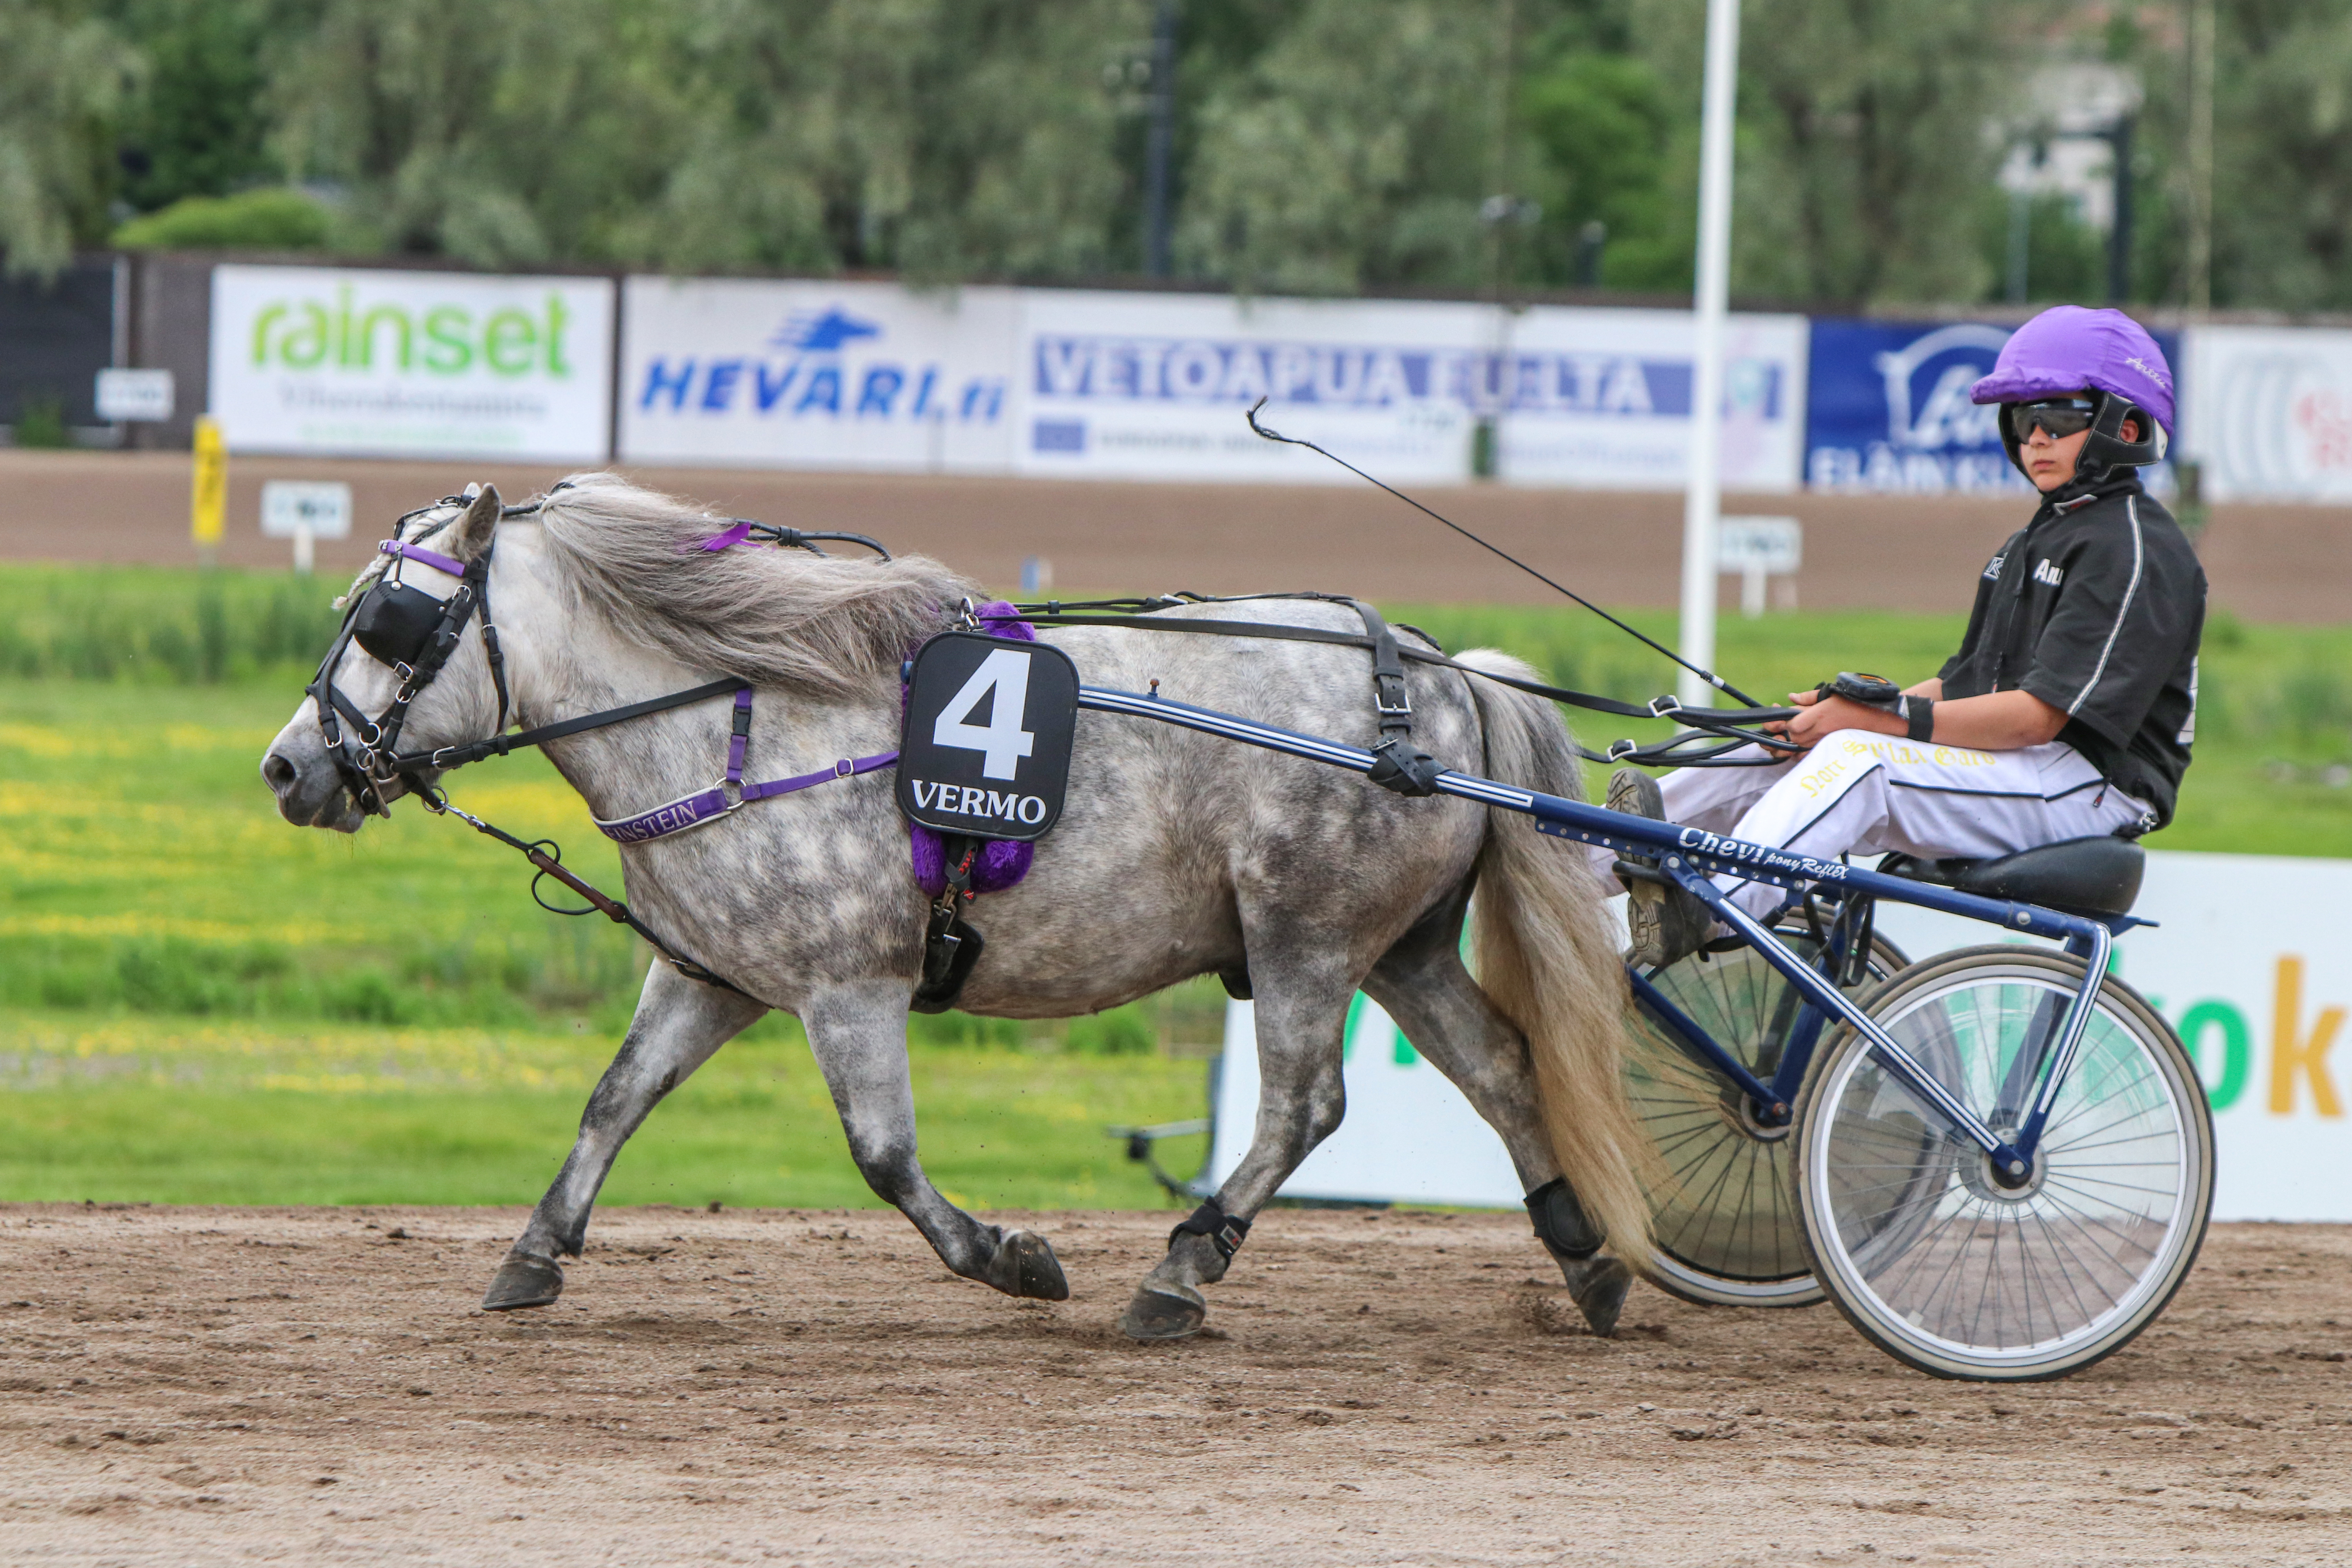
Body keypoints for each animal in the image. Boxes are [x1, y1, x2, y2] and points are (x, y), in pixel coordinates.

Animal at [258, 475, 1656, 1335]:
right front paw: (536, 1251)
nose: (287, 767)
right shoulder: (709, 977)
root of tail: (1436, 673)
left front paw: (1011, 1257)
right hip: (1398, 948)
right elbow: (612, 1101)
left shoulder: (849, 987)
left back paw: (1183, 1267)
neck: (742, 713)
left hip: (1305, 938)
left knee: (1307, 1106)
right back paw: (1582, 1253)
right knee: (1502, 1064)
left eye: (393, 621)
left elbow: (884, 1158)